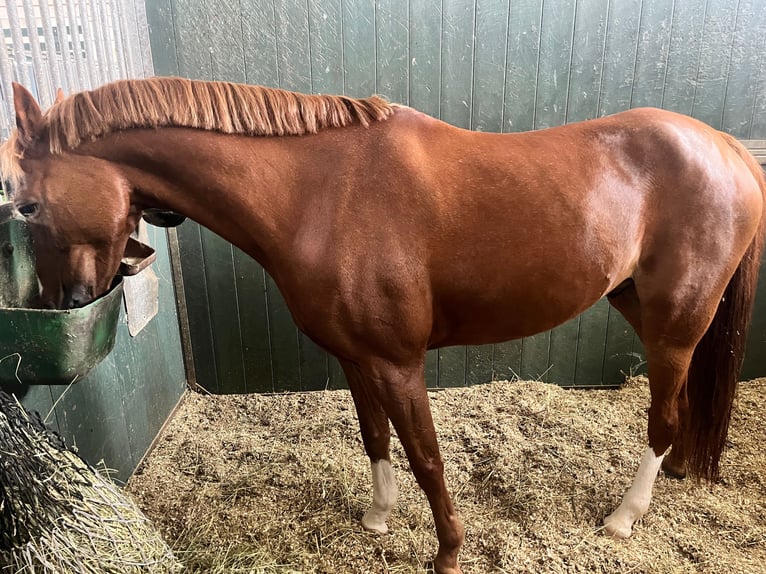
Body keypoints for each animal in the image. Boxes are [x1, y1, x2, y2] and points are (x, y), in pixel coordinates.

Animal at [3, 77, 764, 574]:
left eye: (27, 204)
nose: (65, 302)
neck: (317, 193)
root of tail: (727, 147)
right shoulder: (355, 356)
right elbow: (375, 438)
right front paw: (377, 515)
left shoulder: (400, 362)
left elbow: (427, 455)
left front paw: (448, 552)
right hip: (640, 307)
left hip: (672, 327)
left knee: (663, 420)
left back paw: (624, 516)